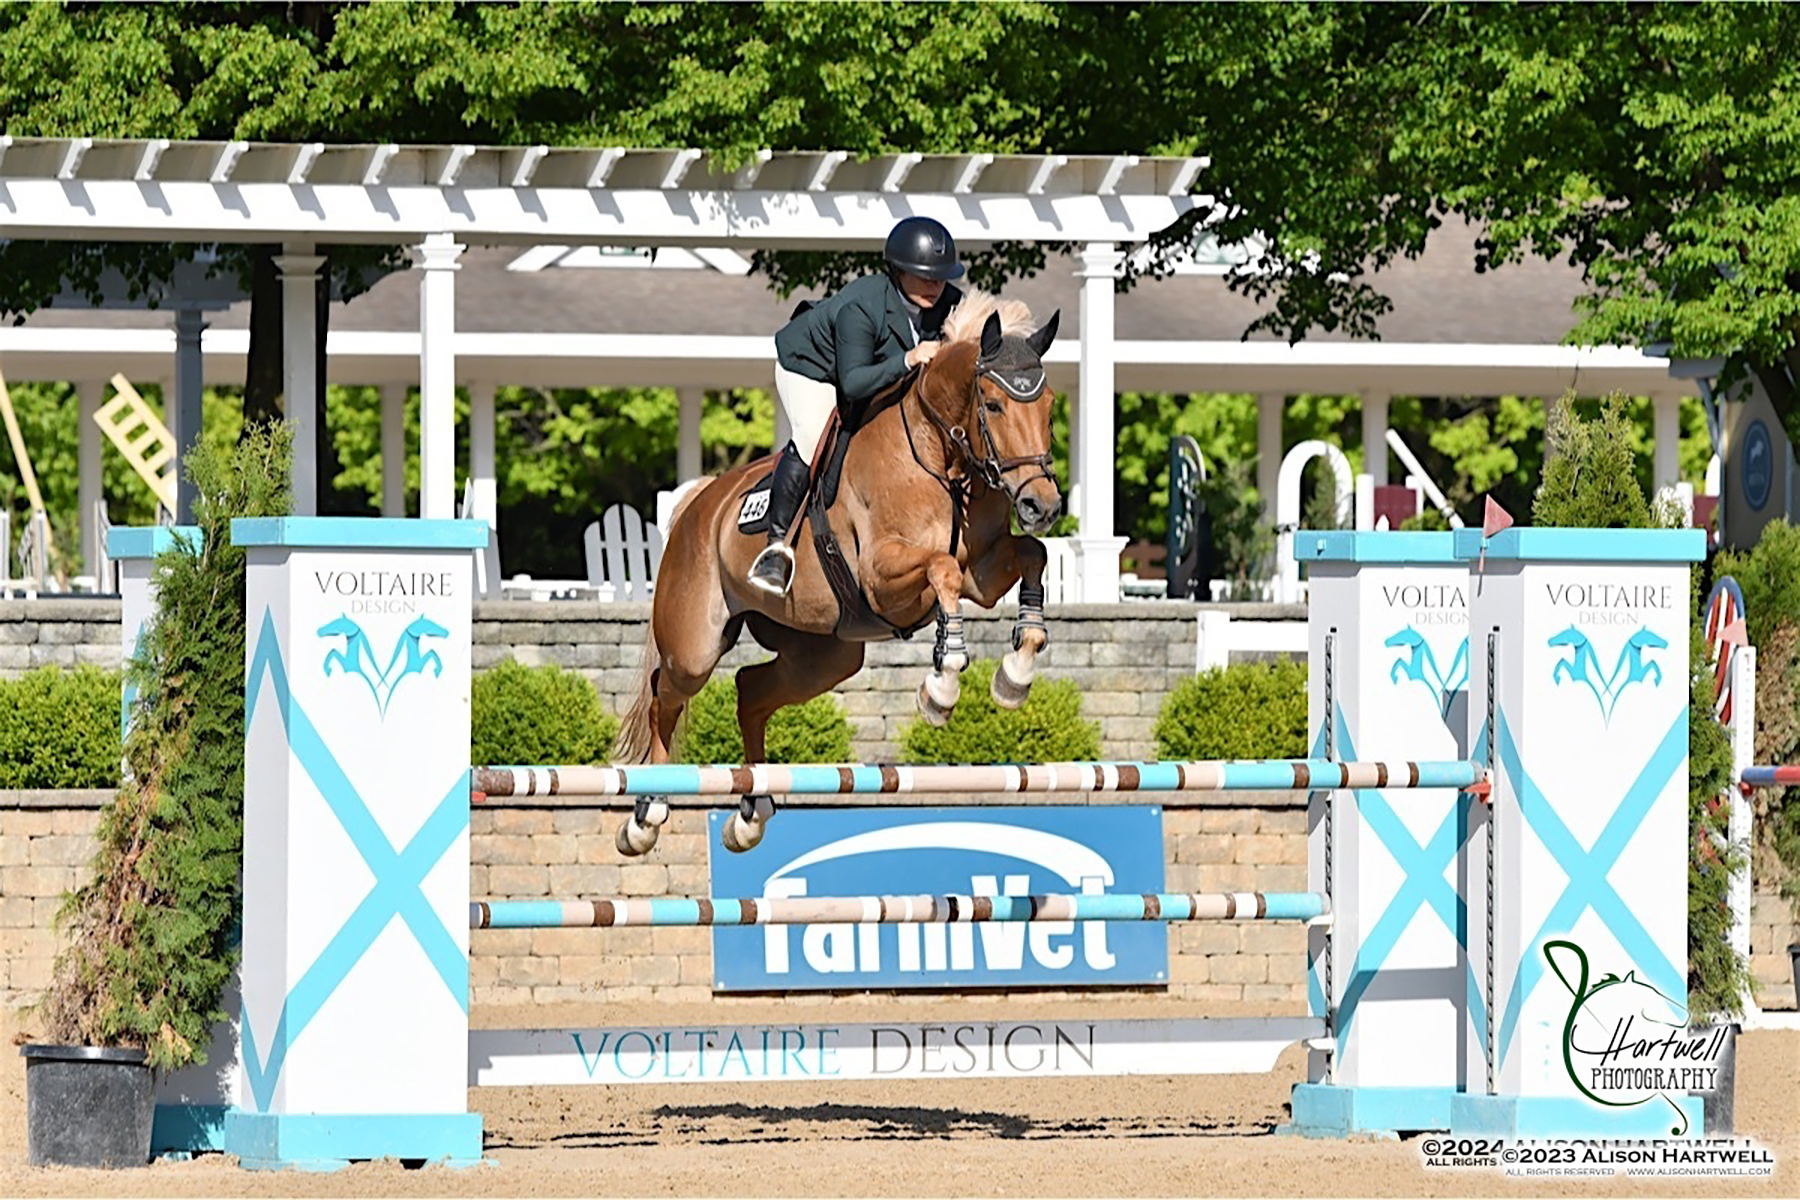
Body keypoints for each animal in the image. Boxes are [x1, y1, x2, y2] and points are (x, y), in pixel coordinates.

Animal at [615, 291, 1064, 855]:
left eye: (1050, 406)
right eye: (995, 404)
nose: (1041, 505)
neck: (940, 456)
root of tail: (701, 502)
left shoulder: (981, 572)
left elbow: (1032, 556)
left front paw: (1016, 674)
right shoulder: (882, 578)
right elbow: (943, 572)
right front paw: (942, 685)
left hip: (825, 655)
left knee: (750, 691)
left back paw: (751, 813)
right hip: (695, 646)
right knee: (665, 695)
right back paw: (647, 814)